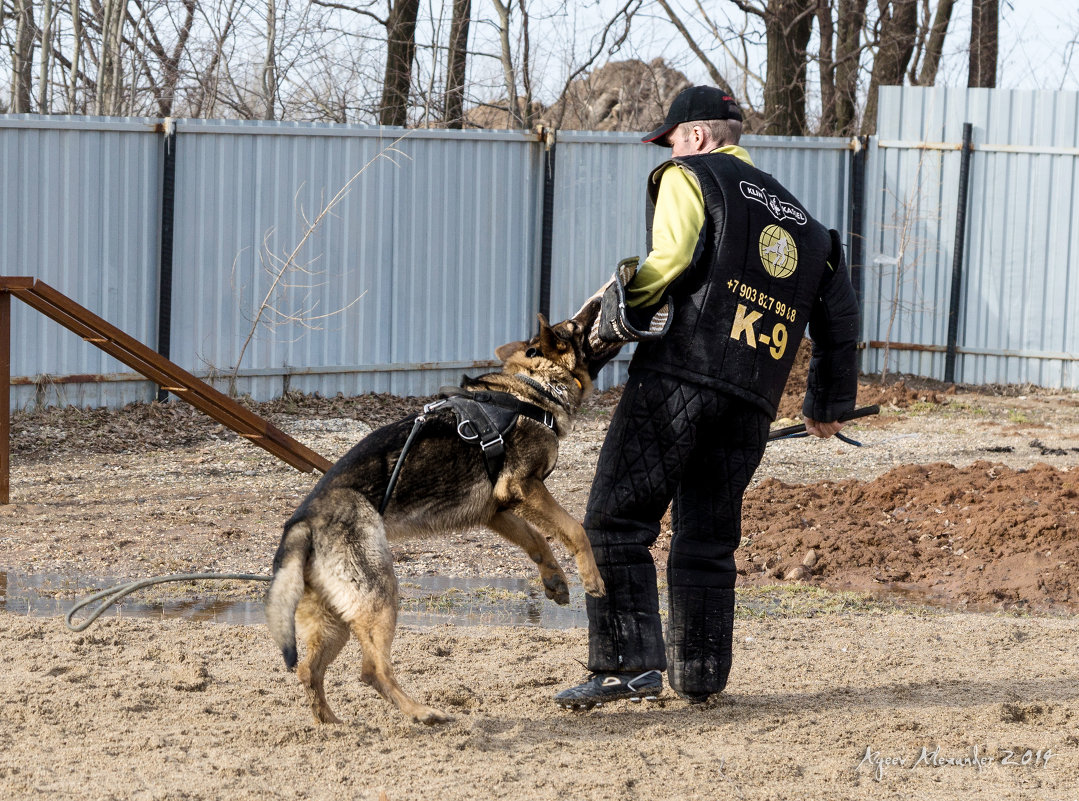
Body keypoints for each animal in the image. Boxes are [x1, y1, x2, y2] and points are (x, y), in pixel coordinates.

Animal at [265, 302, 608, 729]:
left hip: (336, 619)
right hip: (380, 595)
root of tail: (303, 522)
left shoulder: (497, 510)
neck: (532, 388)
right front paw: (591, 578)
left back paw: (335, 725)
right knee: (371, 670)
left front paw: (555, 579)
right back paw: (422, 712)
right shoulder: (523, 489)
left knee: (308, 670)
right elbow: (574, 529)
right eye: (576, 325)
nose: (602, 300)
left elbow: (536, 539)